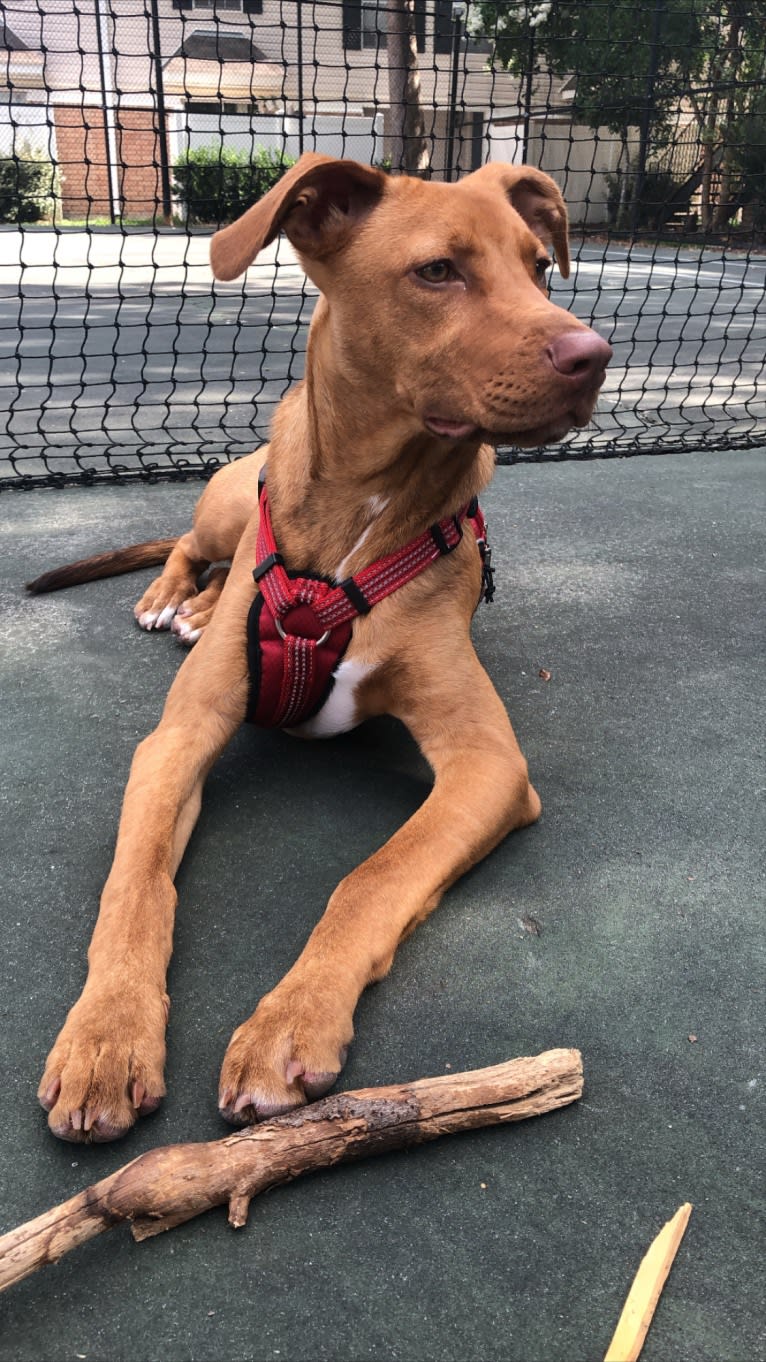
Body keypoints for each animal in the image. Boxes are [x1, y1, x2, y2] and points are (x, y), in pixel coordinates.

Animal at [31, 154, 607, 1144]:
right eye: (438, 271)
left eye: (540, 268)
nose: (593, 355)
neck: (360, 517)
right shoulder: (175, 741)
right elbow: (135, 888)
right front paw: (105, 1038)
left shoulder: (489, 764)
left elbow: (371, 878)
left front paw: (289, 1022)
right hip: (227, 501)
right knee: (190, 546)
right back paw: (175, 597)